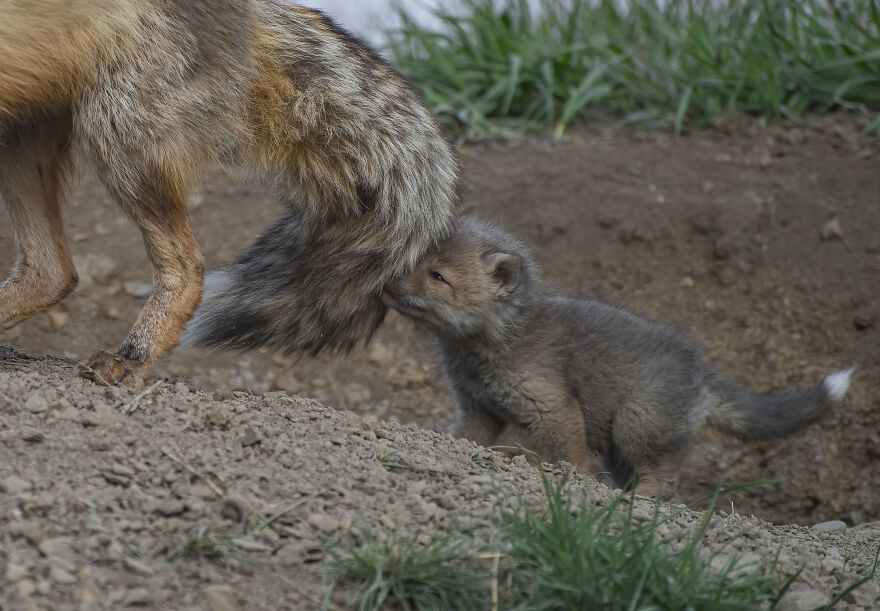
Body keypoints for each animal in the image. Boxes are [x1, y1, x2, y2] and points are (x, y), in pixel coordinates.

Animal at [382, 218, 854, 497]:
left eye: (437, 275)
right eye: (413, 257)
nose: (384, 284)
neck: (494, 341)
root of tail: (701, 372)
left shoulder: (552, 406)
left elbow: (569, 453)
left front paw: (577, 481)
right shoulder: (478, 409)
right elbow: (466, 439)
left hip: (635, 424)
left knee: (664, 477)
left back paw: (636, 502)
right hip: (620, 442)